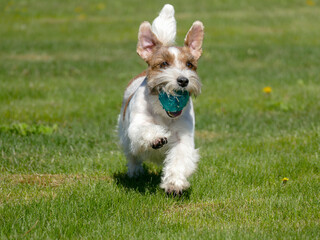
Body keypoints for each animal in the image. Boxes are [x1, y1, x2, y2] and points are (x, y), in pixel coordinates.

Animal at [118, 3, 205, 195]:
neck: (162, 112)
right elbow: (144, 129)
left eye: (189, 65)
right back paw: (135, 172)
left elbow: (179, 159)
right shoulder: (136, 125)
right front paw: (157, 137)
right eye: (164, 64)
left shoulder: (184, 138)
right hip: (124, 135)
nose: (183, 80)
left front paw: (174, 183)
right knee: (132, 155)